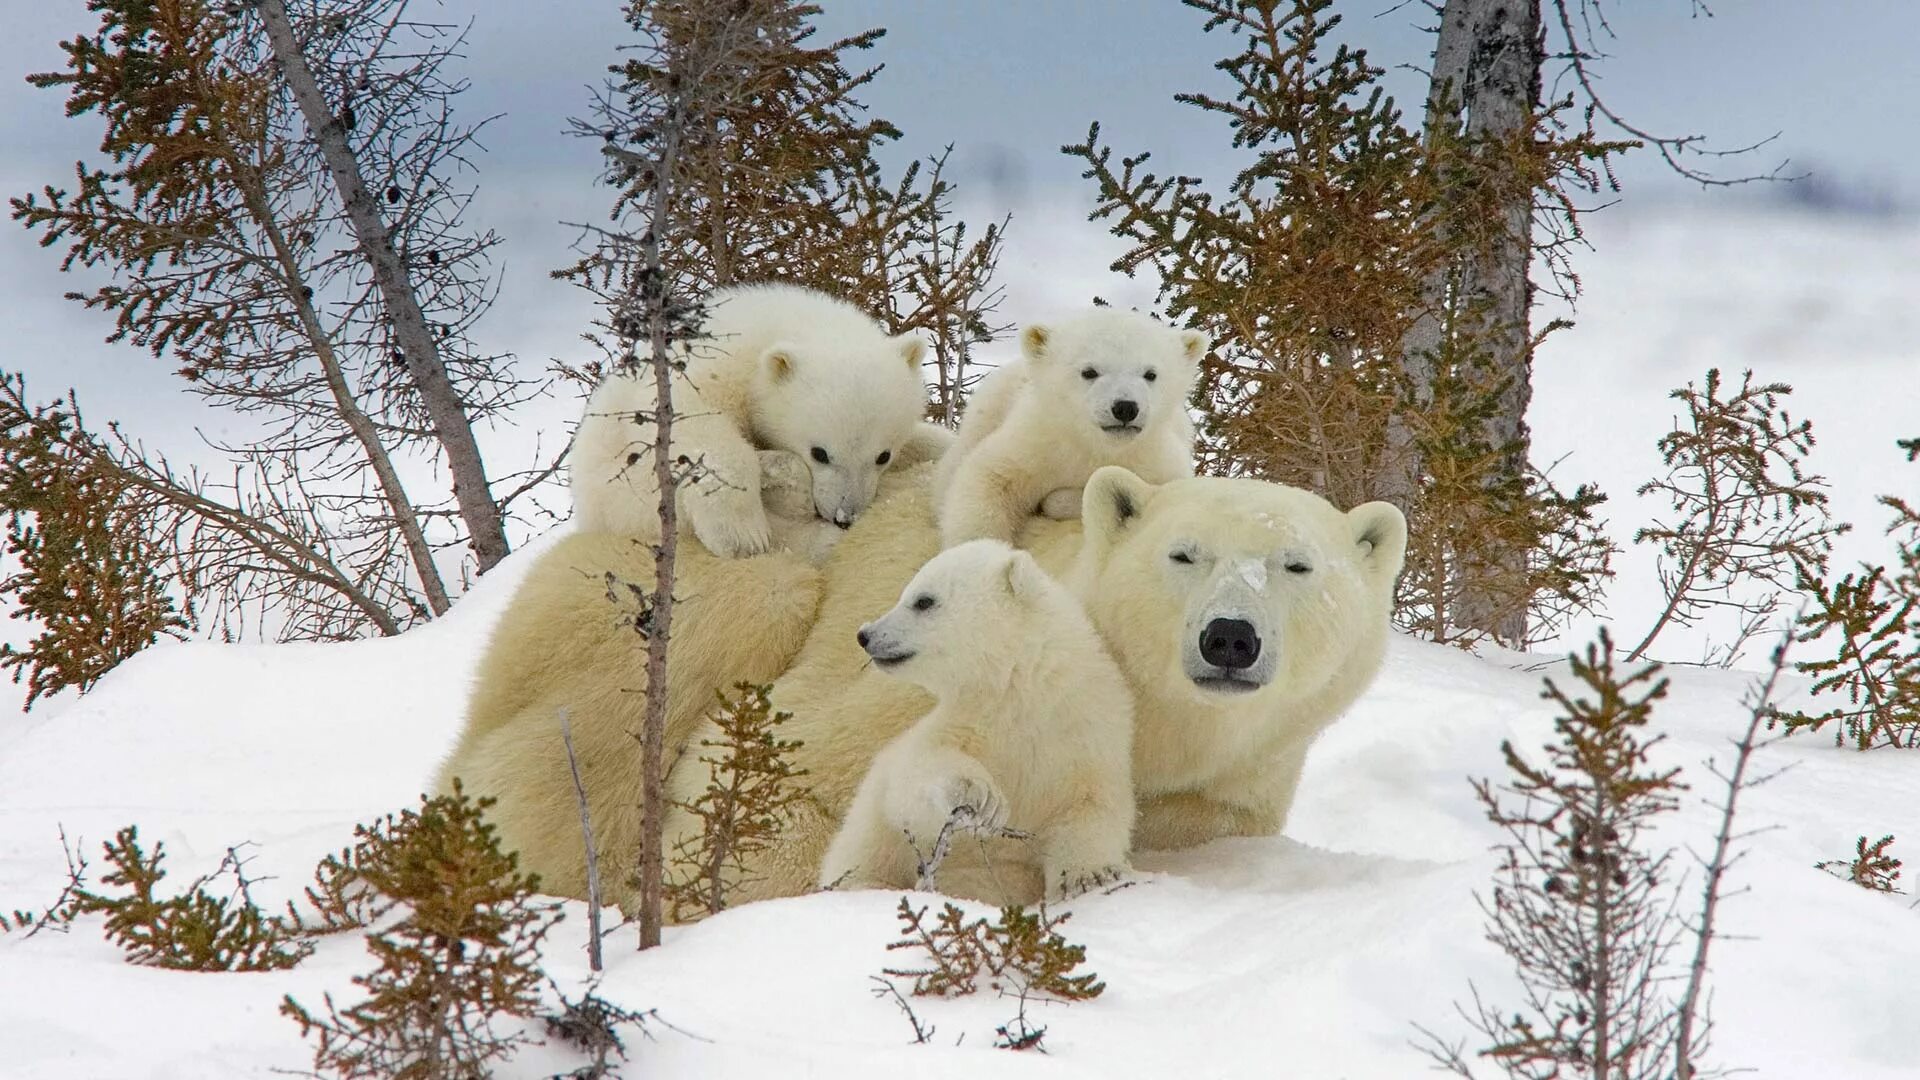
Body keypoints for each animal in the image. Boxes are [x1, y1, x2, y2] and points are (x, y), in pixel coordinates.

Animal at [435, 463, 1405, 907]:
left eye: (1297, 565)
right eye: (1183, 554)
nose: (1229, 637)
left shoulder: (1234, 786)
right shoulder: (916, 682)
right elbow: (791, 775)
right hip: (644, 598)